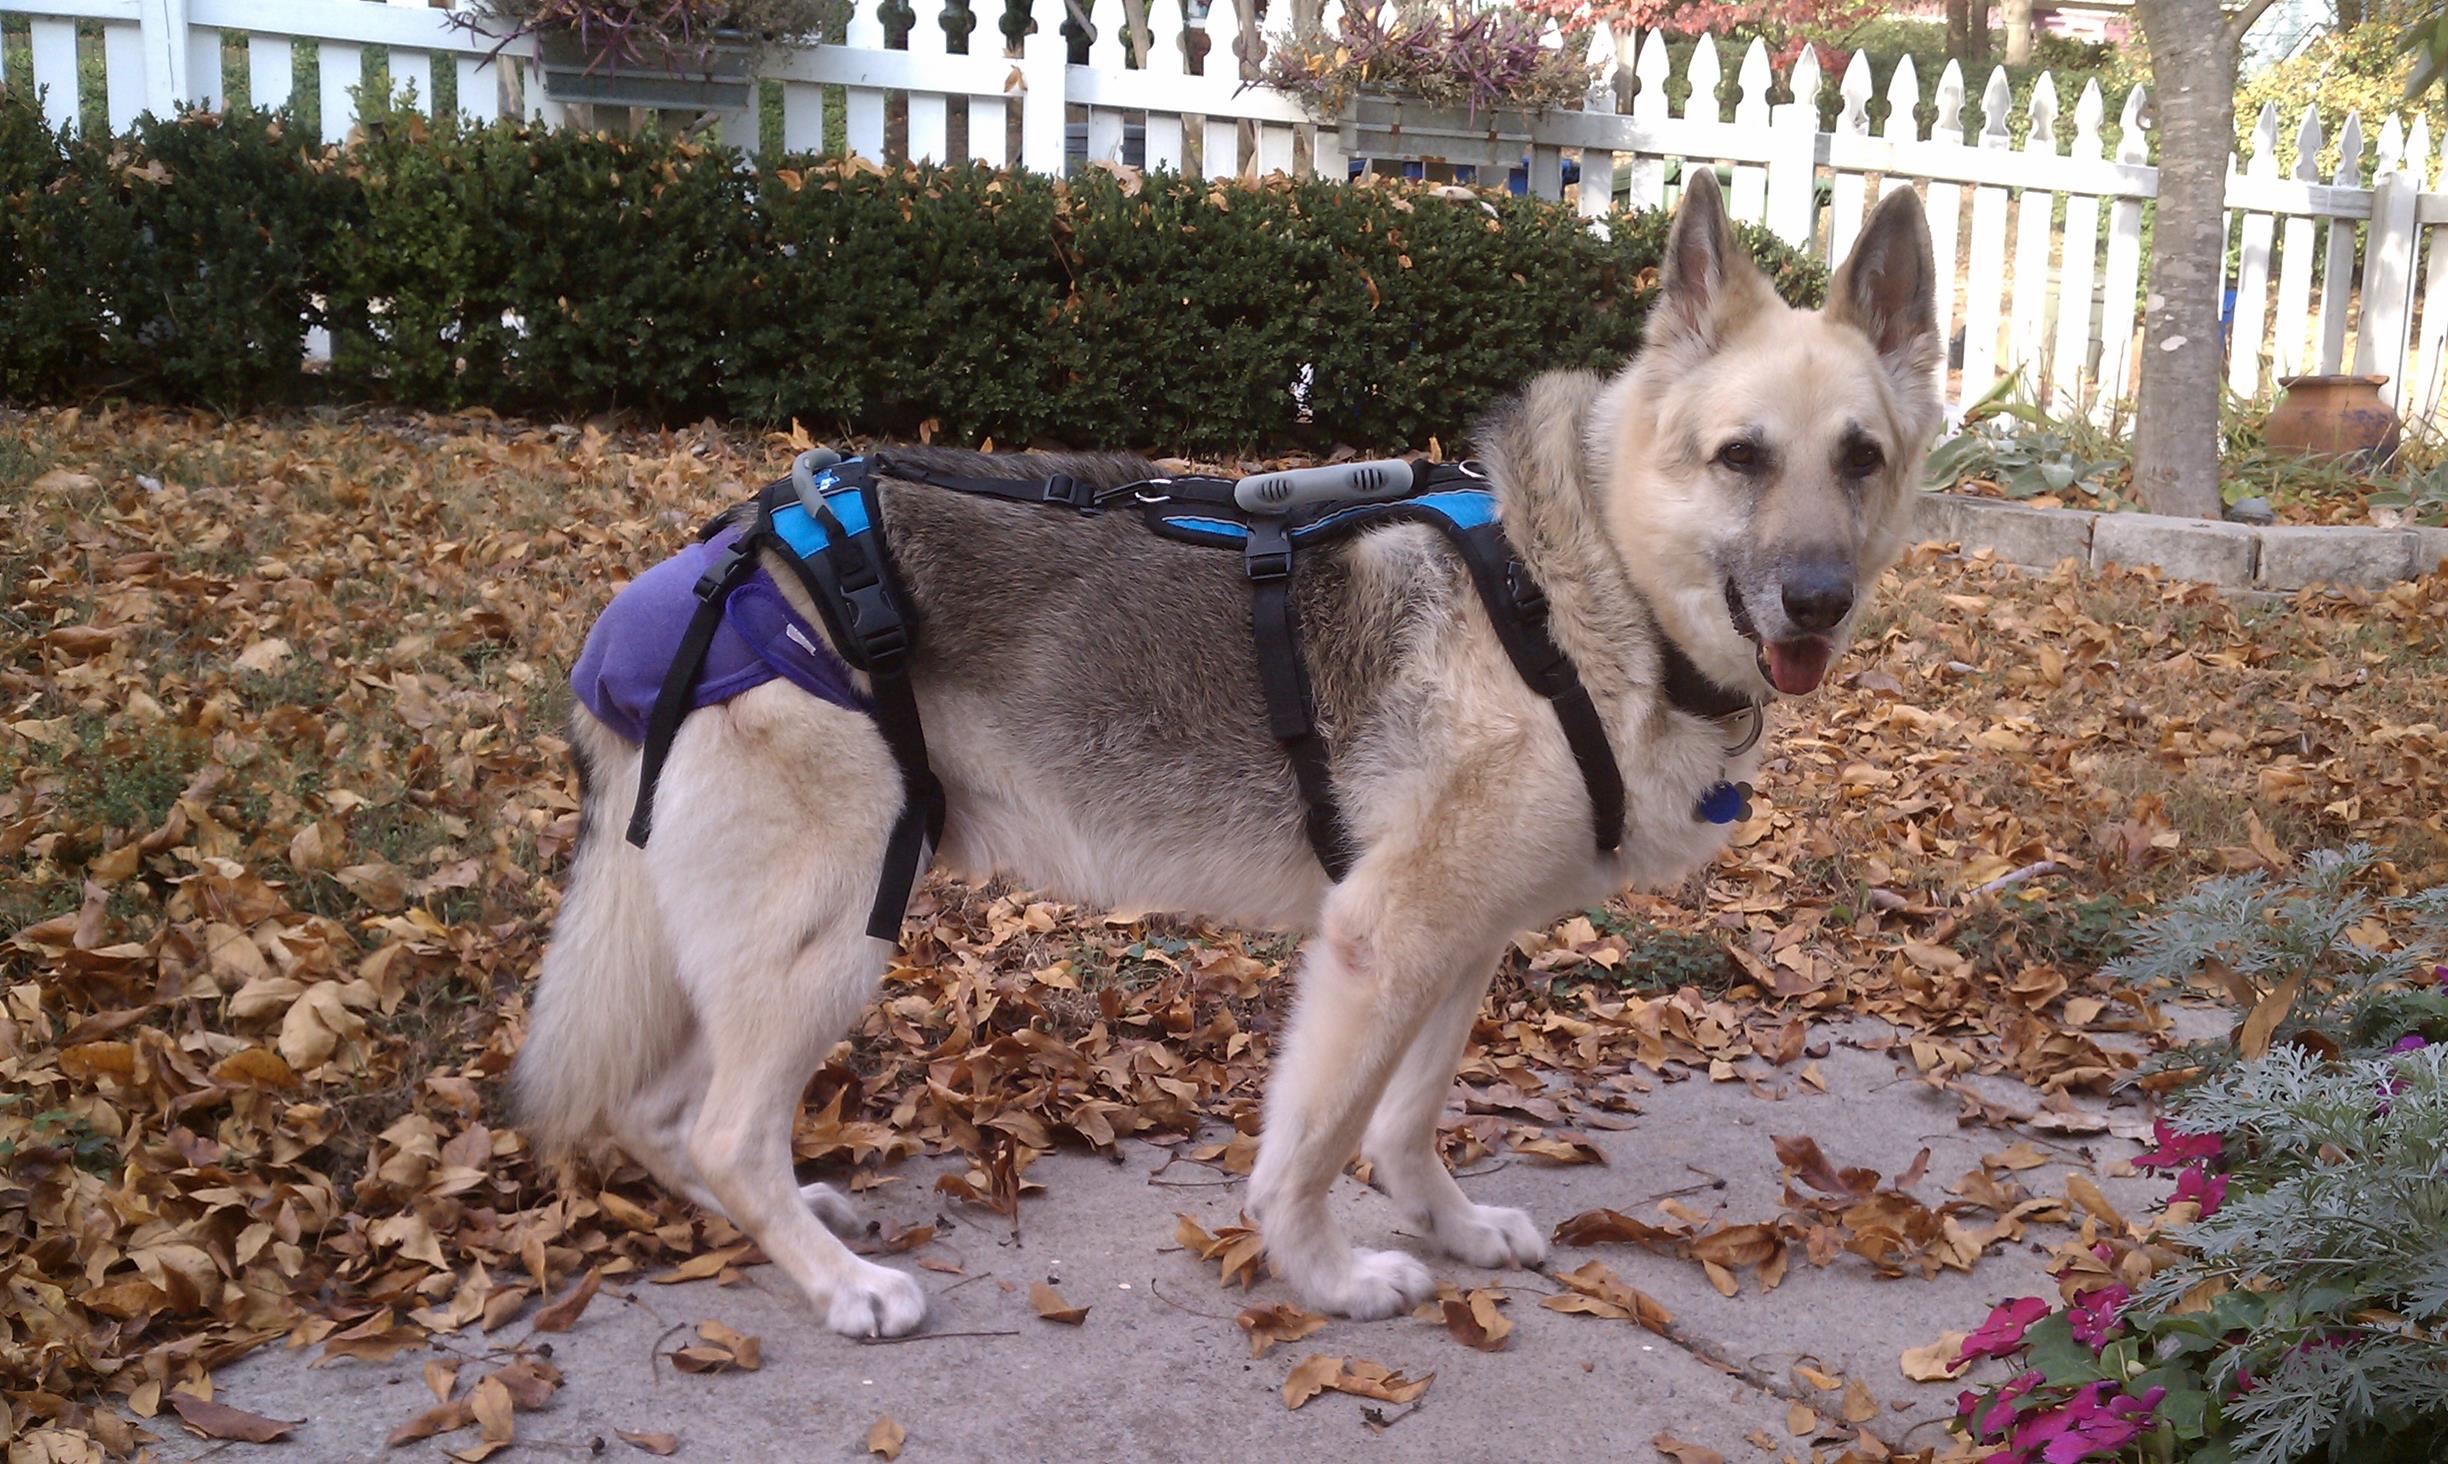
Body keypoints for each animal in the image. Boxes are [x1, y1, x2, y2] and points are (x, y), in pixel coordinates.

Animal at [521, 175, 1948, 1341]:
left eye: (1860, 460)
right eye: (1741, 458)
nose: (1817, 602)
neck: (1582, 580)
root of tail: (688, 578)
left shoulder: (1462, 948)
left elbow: (1405, 1122)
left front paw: (1446, 1226)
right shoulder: (1381, 949)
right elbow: (1311, 1148)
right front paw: (1326, 1277)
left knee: (662, 1117)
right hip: (836, 931)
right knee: (721, 1131)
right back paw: (838, 1288)